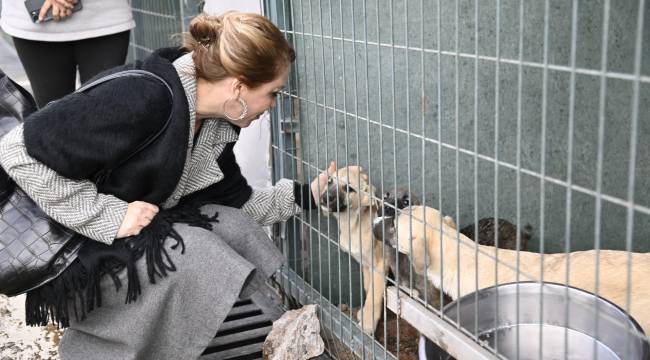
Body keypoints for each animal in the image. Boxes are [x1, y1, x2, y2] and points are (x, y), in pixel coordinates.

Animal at [318, 167, 384, 334]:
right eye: (330, 181)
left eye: (349, 189)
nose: (325, 197)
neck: (353, 225)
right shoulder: (366, 265)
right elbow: (368, 288)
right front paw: (364, 312)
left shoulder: (379, 265)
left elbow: (374, 295)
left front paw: (368, 323)